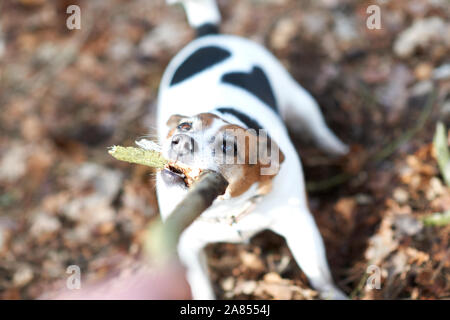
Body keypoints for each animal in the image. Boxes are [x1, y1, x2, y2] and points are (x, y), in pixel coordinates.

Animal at [149, 0, 350, 300]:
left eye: (228, 146)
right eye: (184, 126)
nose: (181, 141)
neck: (228, 211)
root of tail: (209, 36)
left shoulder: (299, 226)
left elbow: (319, 275)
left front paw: (332, 294)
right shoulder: (188, 246)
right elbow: (201, 285)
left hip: (300, 101)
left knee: (318, 127)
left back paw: (337, 150)